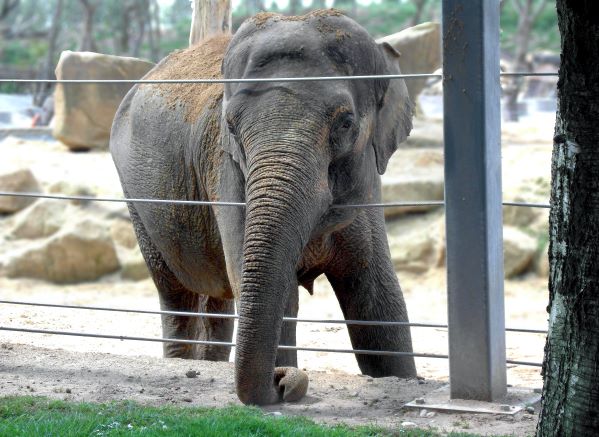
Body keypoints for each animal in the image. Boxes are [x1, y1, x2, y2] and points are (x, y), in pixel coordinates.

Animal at [109, 9, 418, 406]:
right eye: (230, 125)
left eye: (345, 122)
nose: (282, 380)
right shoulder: (228, 172)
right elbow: (282, 297)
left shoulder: (366, 187)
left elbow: (379, 301)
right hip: (137, 199)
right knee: (176, 292)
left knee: (219, 297)